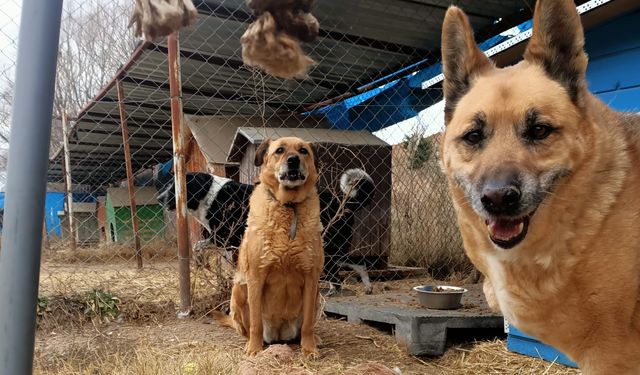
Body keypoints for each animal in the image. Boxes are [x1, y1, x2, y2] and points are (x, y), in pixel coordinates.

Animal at [156, 169, 376, 296]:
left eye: (175, 186)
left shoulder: (224, 238)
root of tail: (343, 202)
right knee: (358, 264)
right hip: (334, 249)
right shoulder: (229, 243)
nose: (158, 199)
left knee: (338, 276)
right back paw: (366, 286)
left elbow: (198, 245)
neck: (209, 195)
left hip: (327, 247)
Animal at [216, 137, 324, 358]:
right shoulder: (256, 277)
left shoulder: (311, 276)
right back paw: (250, 341)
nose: (293, 160)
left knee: (303, 327)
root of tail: (279, 335)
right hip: (239, 290)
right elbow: (256, 322)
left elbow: (308, 323)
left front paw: (309, 348)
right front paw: (254, 349)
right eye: (279, 150)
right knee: (248, 327)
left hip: (317, 294)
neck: (288, 206)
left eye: (303, 151)